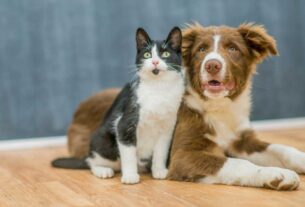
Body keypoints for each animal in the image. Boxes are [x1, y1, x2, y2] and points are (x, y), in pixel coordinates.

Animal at [51, 26, 185, 184]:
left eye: (165, 54)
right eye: (147, 54)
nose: (155, 62)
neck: (158, 89)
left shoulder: (167, 128)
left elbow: (161, 152)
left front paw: (159, 171)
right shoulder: (125, 123)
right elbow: (128, 153)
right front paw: (130, 176)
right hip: (104, 141)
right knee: (92, 161)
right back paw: (103, 170)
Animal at [66, 23, 304, 191]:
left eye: (233, 48)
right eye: (201, 50)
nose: (212, 65)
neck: (216, 108)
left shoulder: (241, 139)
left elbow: (281, 148)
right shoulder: (183, 155)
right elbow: (238, 164)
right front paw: (275, 175)